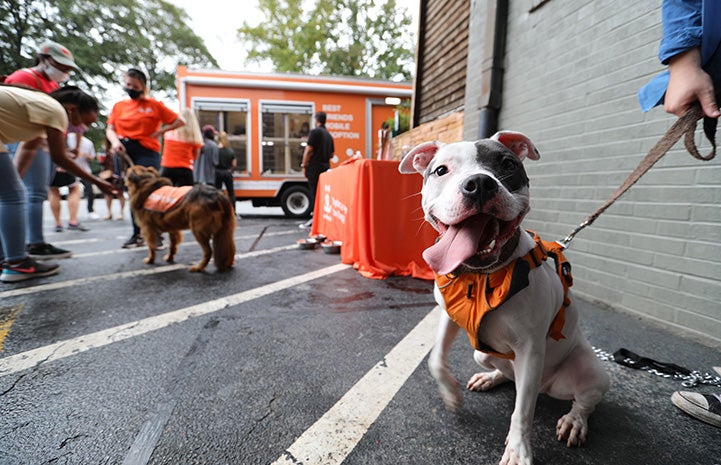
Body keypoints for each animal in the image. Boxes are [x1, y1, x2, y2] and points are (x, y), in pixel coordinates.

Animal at [400, 130, 608, 464]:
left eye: (508, 164)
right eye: (441, 170)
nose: (479, 183)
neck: (483, 276)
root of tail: (546, 386)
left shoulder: (531, 349)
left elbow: (522, 410)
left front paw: (518, 450)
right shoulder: (448, 316)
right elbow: (435, 360)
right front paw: (450, 394)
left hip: (589, 370)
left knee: (581, 400)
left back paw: (574, 421)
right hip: (482, 353)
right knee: (507, 375)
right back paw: (490, 378)